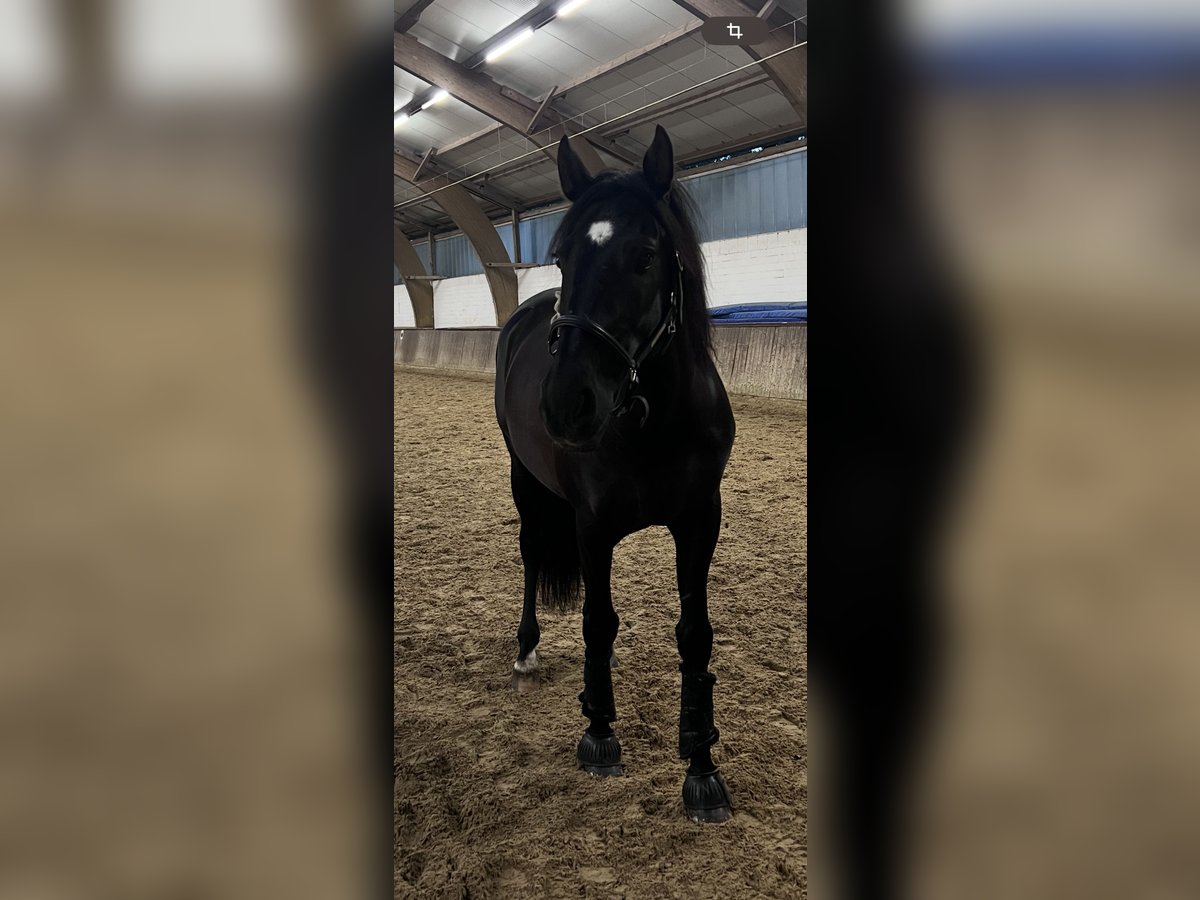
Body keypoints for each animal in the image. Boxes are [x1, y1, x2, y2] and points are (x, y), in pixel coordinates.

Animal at [492, 127, 734, 825]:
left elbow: (695, 637)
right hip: (526, 484)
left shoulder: (699, 521)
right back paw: (526, 650)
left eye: (645, 255)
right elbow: (598, 620)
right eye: (561, 257)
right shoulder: (592, 525)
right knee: (530, 554)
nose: (566, 404)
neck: (653, 419)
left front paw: (701, 767)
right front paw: (599, 735)